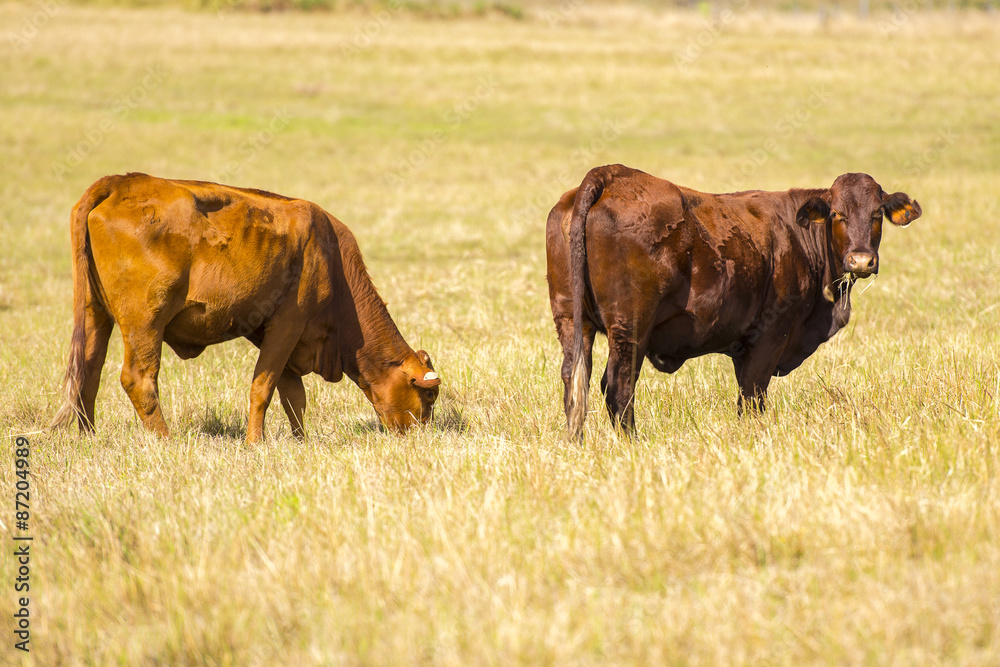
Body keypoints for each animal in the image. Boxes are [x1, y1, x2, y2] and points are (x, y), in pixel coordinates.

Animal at [52, 175, 440, 440]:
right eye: (430, 394)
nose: (421, 437)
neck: (332, 259)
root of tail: (123, 181)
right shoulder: (288, 324)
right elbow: (264, 388)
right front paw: (257, 443)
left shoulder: (283, 339)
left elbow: (293, 395)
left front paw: (301, 441)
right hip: (145, 322)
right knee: (138, 379)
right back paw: (166, 440)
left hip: (95, 314)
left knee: (89, 371)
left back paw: (89, 436)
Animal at [548, 165, 920, 438]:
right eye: (837, 214)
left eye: (877, 214)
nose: (861, 260)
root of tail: (611, 175)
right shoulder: (771, 334)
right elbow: (753, 397)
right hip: (631, 327)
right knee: (618, 386)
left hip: (571, 319)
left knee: (574, 381)